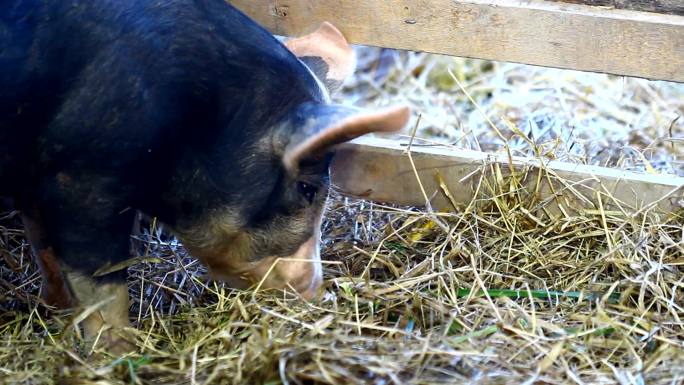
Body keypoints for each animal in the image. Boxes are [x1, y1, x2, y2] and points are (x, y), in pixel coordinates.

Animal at [0, 0, 406, 346]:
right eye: (307, 189)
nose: (315, 290)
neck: (196, 125)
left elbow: (45, 248)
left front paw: (55, 309)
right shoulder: (81, 183)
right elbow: (104, 287)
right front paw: (119, 355)